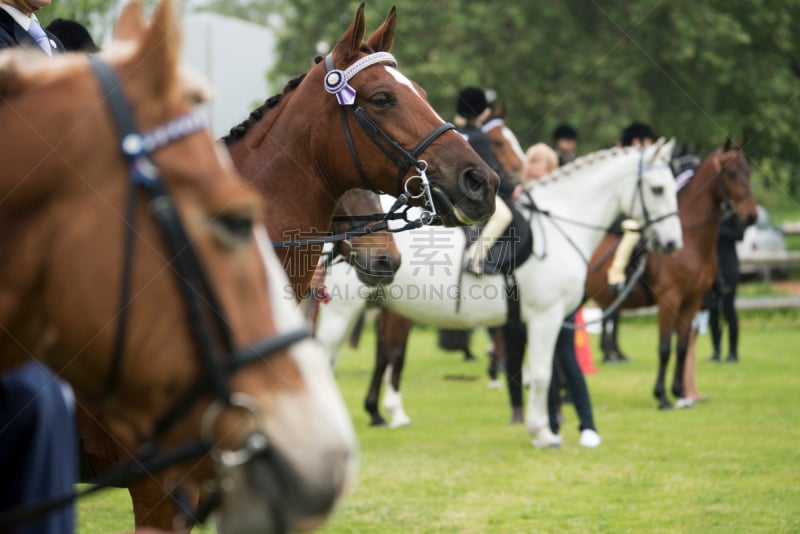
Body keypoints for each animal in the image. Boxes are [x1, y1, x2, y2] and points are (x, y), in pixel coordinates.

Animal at [318, 139, 680, 448]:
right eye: (658, 189)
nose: (673, 243)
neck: (560, 226)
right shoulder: (546, 317)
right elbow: (543, 375)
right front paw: (543, 433)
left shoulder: (544, 320)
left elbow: (546, 374)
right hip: (342, 311)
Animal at [580, 142, 756, 410]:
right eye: (731, 173)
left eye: (748, 171)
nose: (751, 216)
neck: (690, 240)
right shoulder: (669, 300)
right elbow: (664, 348)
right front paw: (662, 396)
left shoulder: (692, 301)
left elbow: (682, 347)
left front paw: (680, 392)